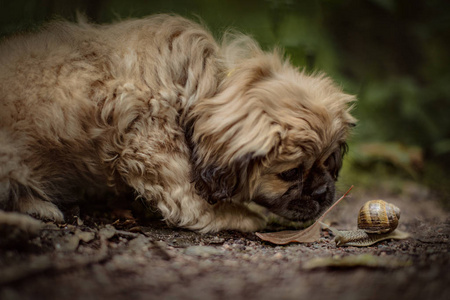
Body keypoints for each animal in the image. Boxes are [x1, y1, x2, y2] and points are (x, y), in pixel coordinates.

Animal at [0, 14, 356, 232]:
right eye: (290, 173)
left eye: (327, 162)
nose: (323, 192)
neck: (203, 84)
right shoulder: (154, 152)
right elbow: (191, 199)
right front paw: (240, 215)